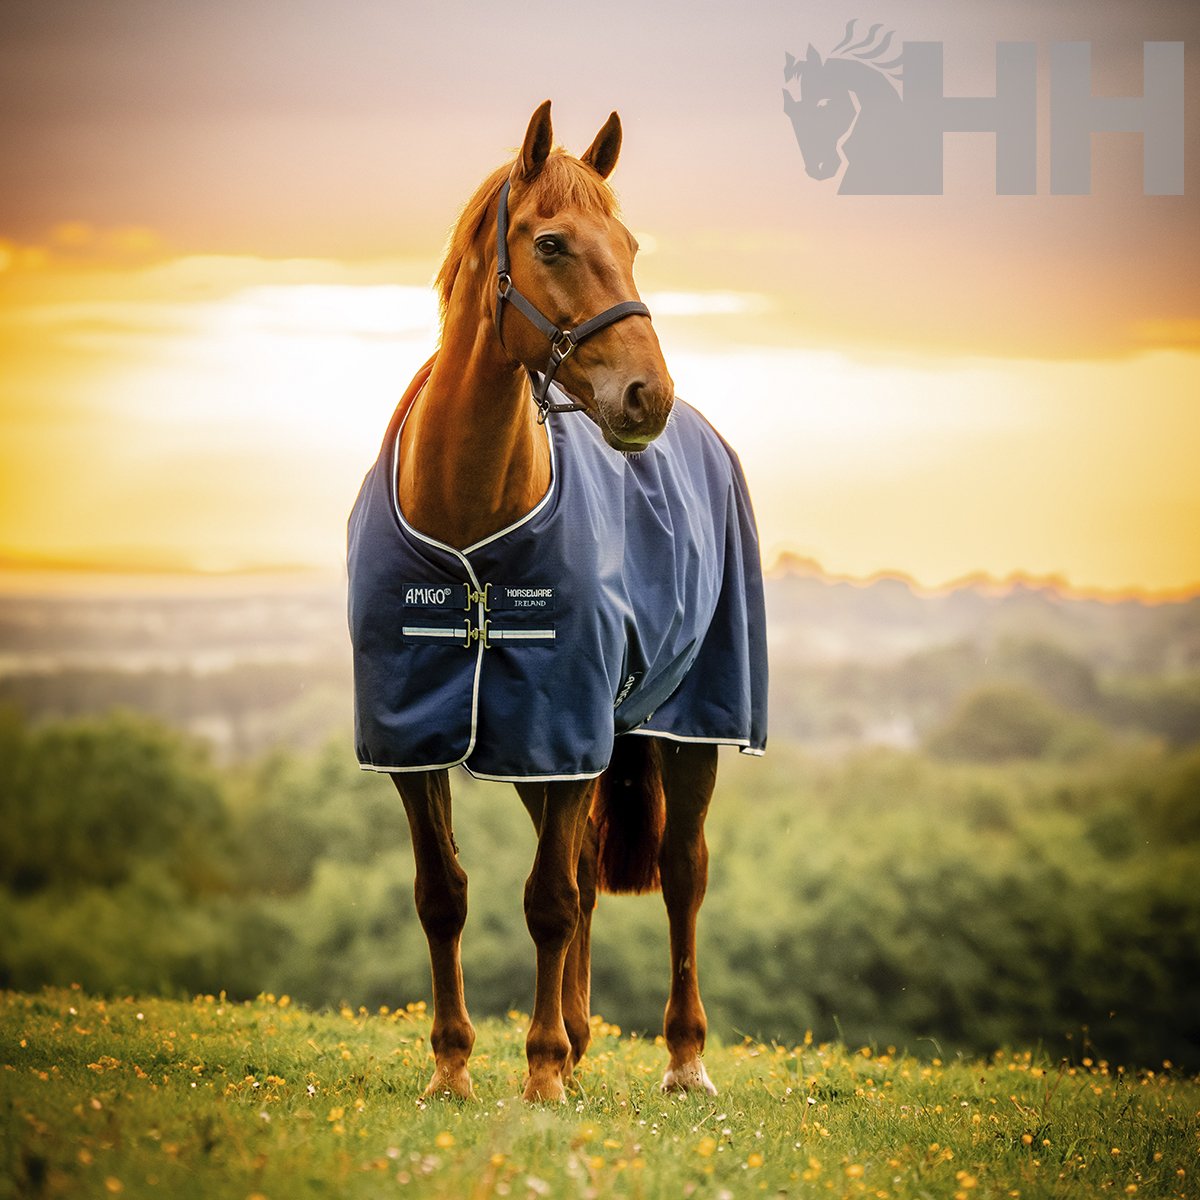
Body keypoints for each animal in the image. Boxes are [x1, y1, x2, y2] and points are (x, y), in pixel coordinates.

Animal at [347, 101, 767, 1102]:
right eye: (551, 242)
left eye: (631, 243)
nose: (647, 396)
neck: (469, 520)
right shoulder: (424, 736)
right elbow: (444, 895)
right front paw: (454, 1069)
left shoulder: (564, 724)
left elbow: (548, 901)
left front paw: (538, 1077)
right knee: (577, 868)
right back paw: (576, 1039)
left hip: (686, 725)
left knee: (681, 871)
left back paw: (682, 1058)